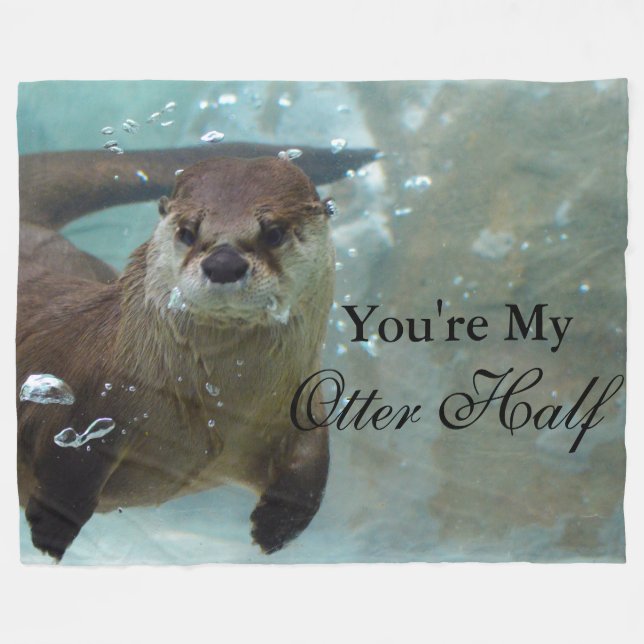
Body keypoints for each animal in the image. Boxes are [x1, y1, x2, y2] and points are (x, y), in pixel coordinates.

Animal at [17, 144, 376, 560]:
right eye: (188, 232)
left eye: (273, 232)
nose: (223, 262)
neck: (217, 407)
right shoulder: (85, 404)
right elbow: (69, 467)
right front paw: (53, 530)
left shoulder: (302, 404)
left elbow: (311, 466)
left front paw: (276, 527)